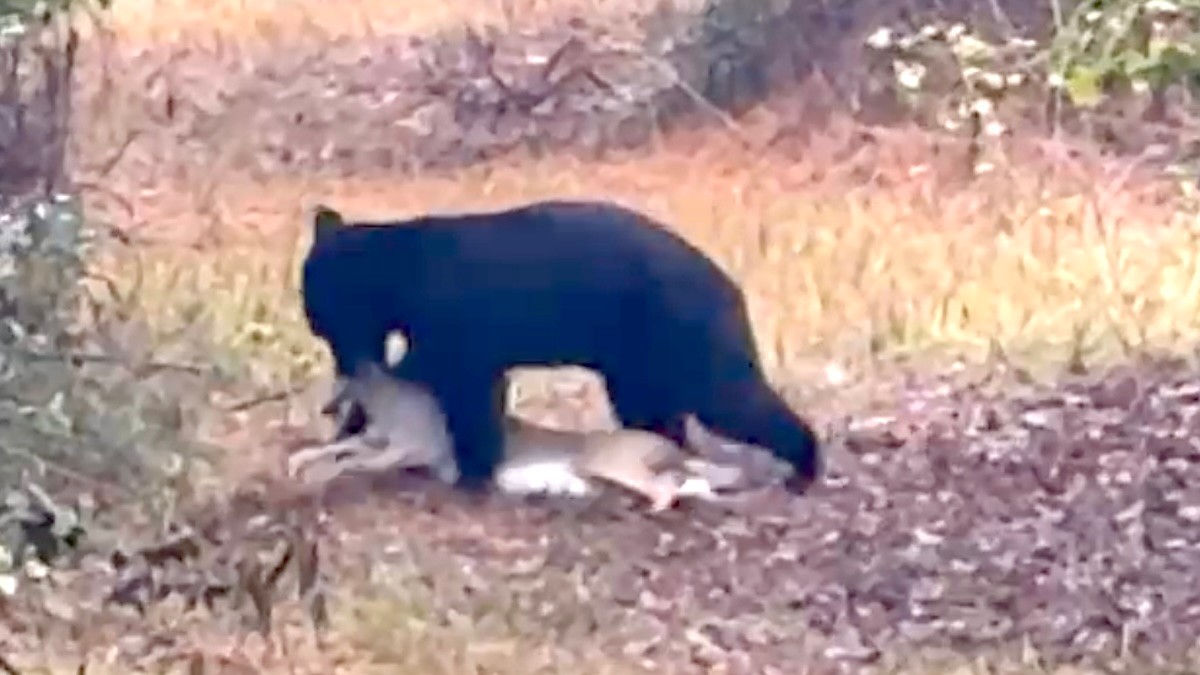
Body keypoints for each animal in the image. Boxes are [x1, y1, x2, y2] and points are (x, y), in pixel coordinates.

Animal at [299, 199, 821, 493]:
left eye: (322, 314)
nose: (340, 358)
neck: (399, 269)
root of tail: (730, 287)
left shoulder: (457, 331)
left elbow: (458, 389)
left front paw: (472, 474)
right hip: (637, 362)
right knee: (655, 414)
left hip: (689, 339)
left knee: (730, 398)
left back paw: (805, 467)